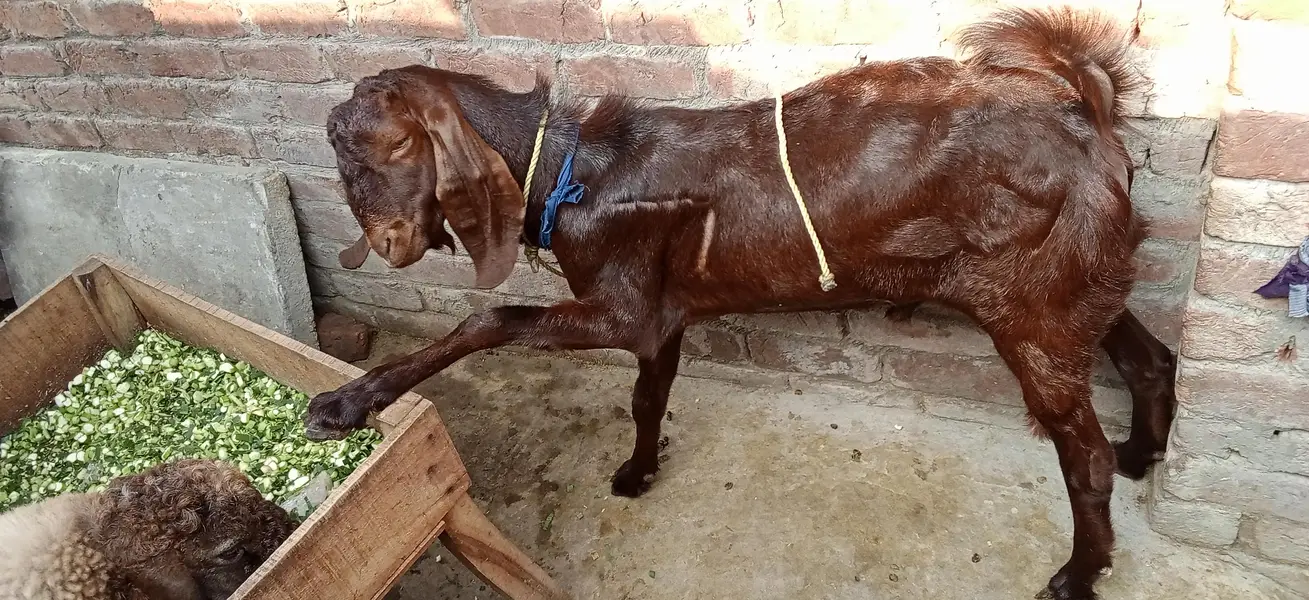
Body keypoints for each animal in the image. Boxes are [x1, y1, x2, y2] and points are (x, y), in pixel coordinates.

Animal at [304, 7, 1179, 599]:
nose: (386, 243)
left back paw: (1078, 571)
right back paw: (1142, 454)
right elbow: (647, 393)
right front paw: (637, 472)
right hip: (1077, 286)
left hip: (1033, 310)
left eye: (380, 143)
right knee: (1149, 358)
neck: (569, 168)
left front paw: (347, 402)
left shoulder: (622, 308)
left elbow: (490, 320)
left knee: (1081, 456)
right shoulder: (662, 311)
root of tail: (1088, 114)